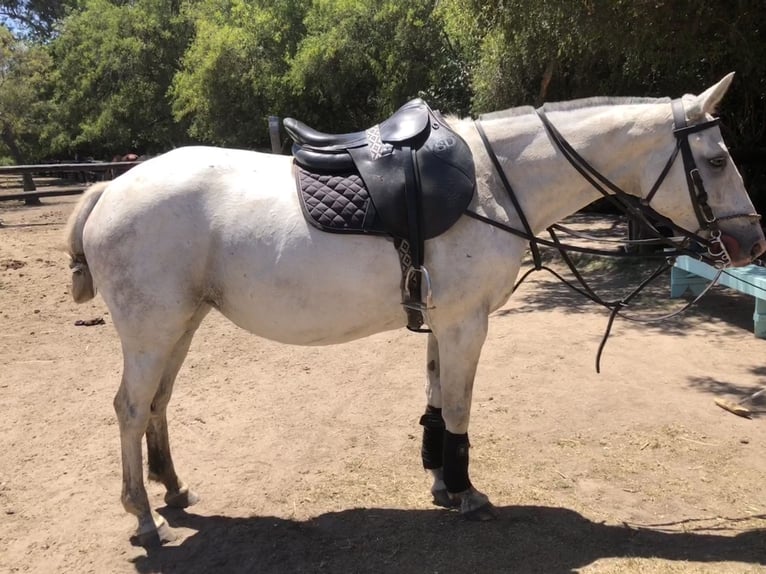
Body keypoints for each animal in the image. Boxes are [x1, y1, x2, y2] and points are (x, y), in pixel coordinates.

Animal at [64, 74, 760, 548]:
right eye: (718, 159)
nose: (752, 241)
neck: (491, 184)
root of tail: (110, 187)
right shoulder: (466, 323)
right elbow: (458, 407)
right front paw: (466, 491)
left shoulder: (441, 321)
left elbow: (435, 400)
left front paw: (440, 482)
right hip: (151, 331)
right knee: (130, 408)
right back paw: (144, 517)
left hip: (180, 326)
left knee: (158, 405)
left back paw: (174, 490)